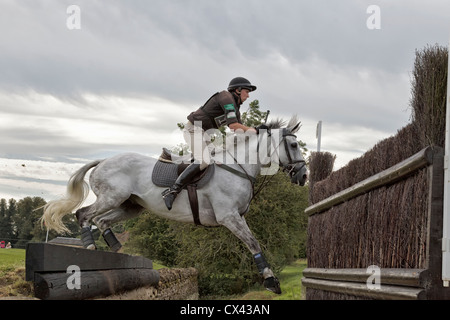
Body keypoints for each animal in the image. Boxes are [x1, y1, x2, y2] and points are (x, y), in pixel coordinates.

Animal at [41, 116, 306, 294]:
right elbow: (253, 243)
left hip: (131, 206)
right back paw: (90, 248)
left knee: (101, 220)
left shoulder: (237, 217)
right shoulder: (229, 217)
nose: (303, 177)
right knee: (84, 214)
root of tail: (103, 160)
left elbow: (252, 243)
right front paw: (271, 281)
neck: (237, 167)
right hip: (112, 198)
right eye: (293, 146)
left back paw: (117, 251)